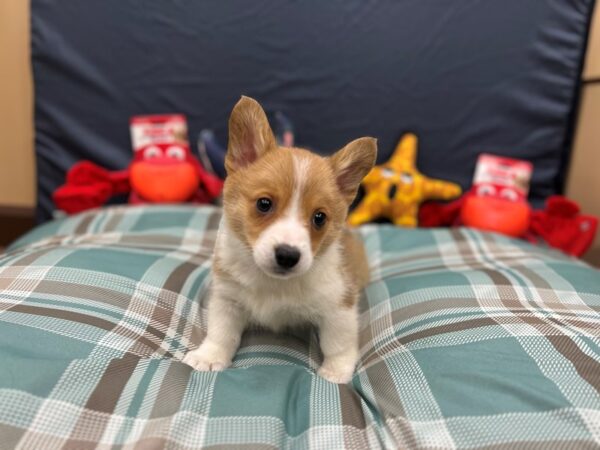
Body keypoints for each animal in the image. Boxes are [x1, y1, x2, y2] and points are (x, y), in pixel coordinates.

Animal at [185, 96, 378, 384]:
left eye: (319, 217)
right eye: (264, 203)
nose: (287, 255)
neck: (273, 284)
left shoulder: (338, 305)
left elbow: (338, 343)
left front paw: (335, 373)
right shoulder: (226, 298)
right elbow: (221, 332)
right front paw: (209, 357)